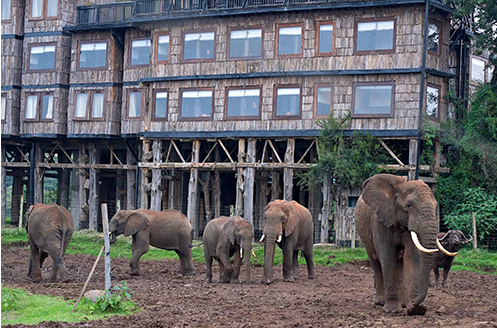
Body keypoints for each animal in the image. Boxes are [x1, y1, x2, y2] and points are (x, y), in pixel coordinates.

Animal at [352, 174, 450, 316]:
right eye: (409, 206)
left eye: (435, 205)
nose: (416, 303)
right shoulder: (380, 219)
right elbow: (387, 256)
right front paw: (392, 310)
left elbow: (412, 257)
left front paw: (416, 309)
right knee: (376, 262)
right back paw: (380, 302)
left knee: (399, 263)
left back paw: (403, 303)